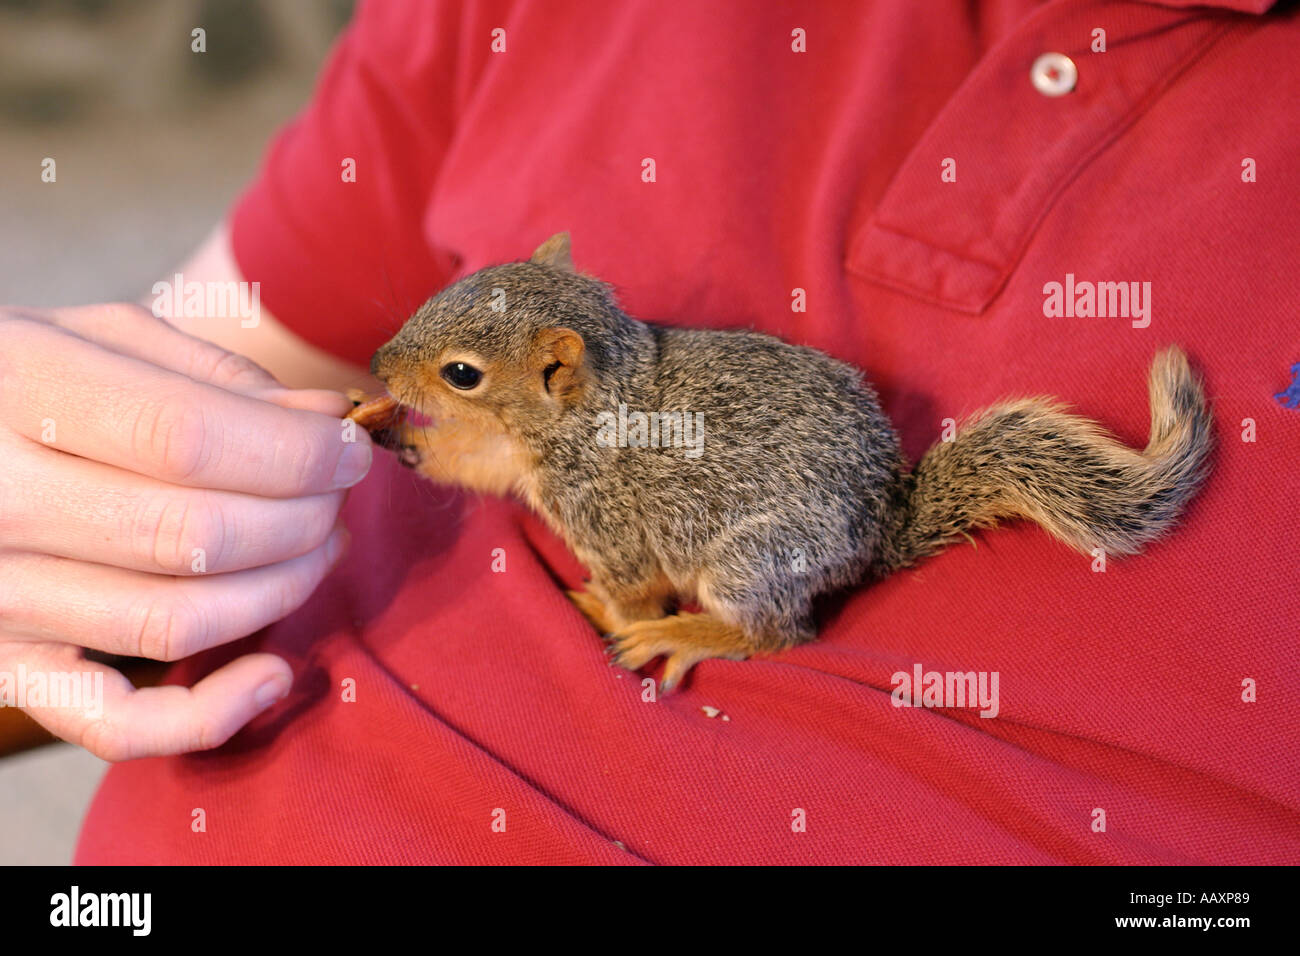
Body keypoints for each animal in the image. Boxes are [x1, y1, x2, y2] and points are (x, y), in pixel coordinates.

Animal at [354, 232, 1213, 692]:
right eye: (460, 283)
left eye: (462, 373)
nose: (378, 362)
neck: (594, 406)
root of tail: (878, 527)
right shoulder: (516, 457)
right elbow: (473, 460)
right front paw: (395, 434)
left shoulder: (604, 511)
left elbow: (631, 587)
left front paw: (616, 613)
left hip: (752, 558)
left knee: (777, 634)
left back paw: (688, 635)